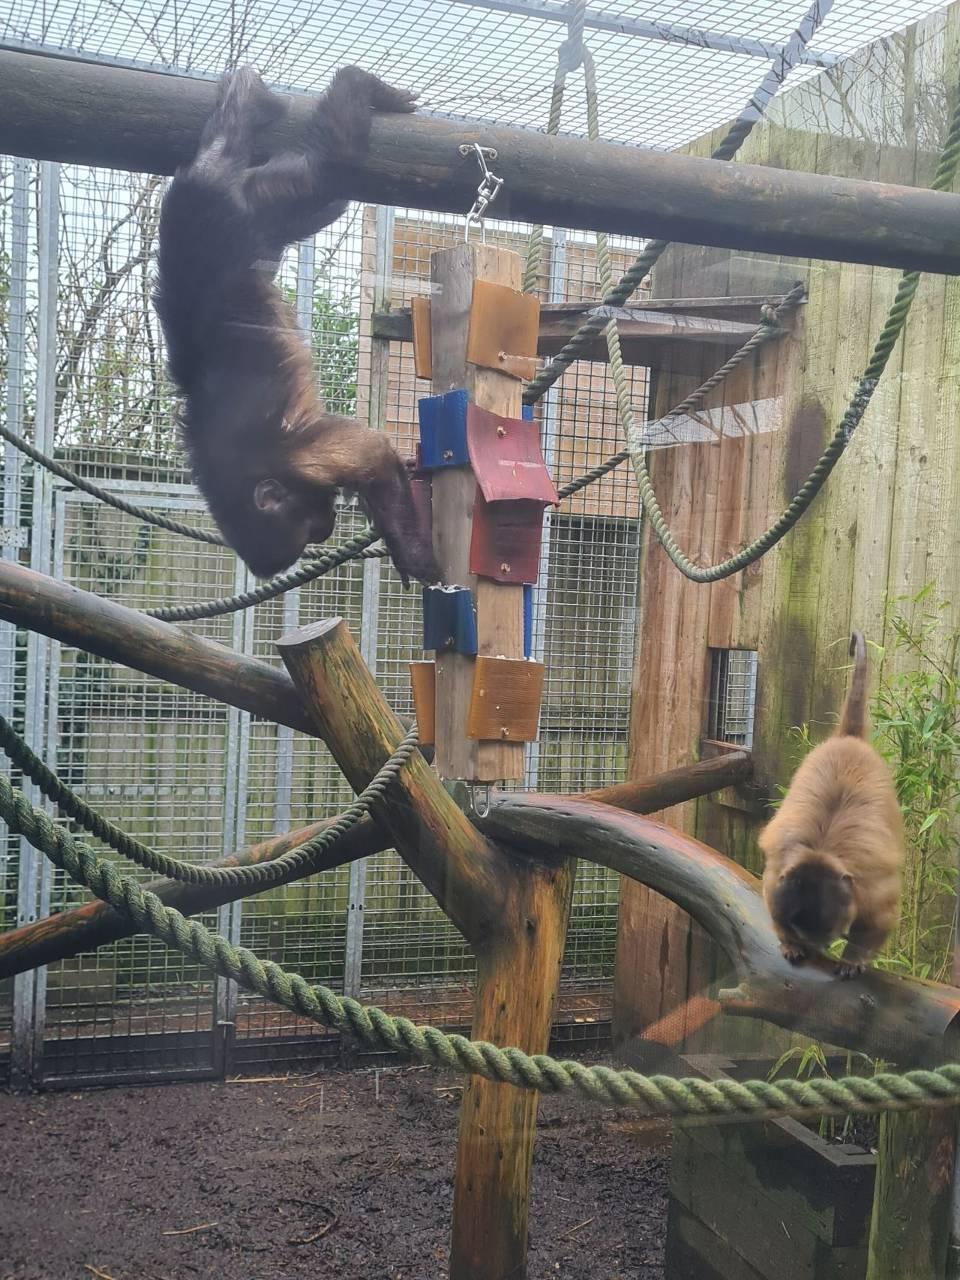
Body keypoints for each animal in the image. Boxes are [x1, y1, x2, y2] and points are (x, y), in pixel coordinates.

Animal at [153, 64, 440, 586]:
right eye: (308, 532)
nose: (325, 528)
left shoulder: (292, 455)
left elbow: (370, 452)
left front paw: (415, 555)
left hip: (238, 215)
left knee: (326, 173)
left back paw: (355, 84)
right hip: (241, 210)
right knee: (311, 193)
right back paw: (240, 110)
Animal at [758, 631, 904, 978]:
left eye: (827, 932)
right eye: (801, 929)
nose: (815, 946)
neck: (821, 852)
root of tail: (848, 738)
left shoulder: (868, 883)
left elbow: (881, 917)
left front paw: (853, 958)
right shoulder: (780, 870)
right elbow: (771, 897)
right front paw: (790, 943)